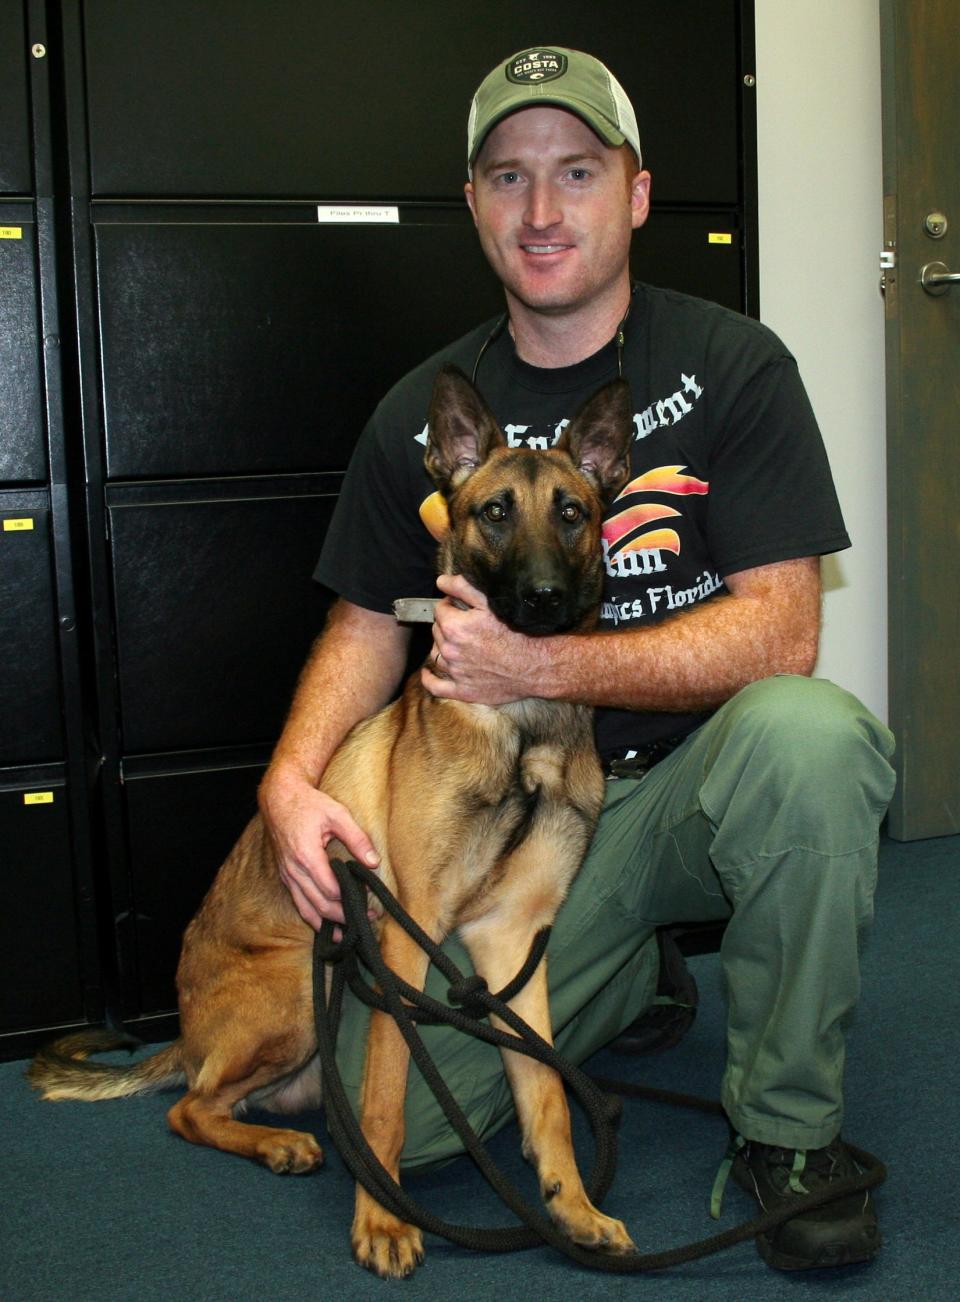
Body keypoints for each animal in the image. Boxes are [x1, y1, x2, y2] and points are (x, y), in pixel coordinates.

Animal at [31, 367, 635, 1281]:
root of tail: (188, 1032)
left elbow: (548, 1093)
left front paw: (572, 1207)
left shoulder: (513, 946)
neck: (522, 727)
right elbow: (386, 1101)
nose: (543, 600)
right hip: (296, 985)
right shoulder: (404, 940)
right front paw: (383, 1220)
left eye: (572, 512)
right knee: (187, 1109)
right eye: (496, 511)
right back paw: (279, 1145)